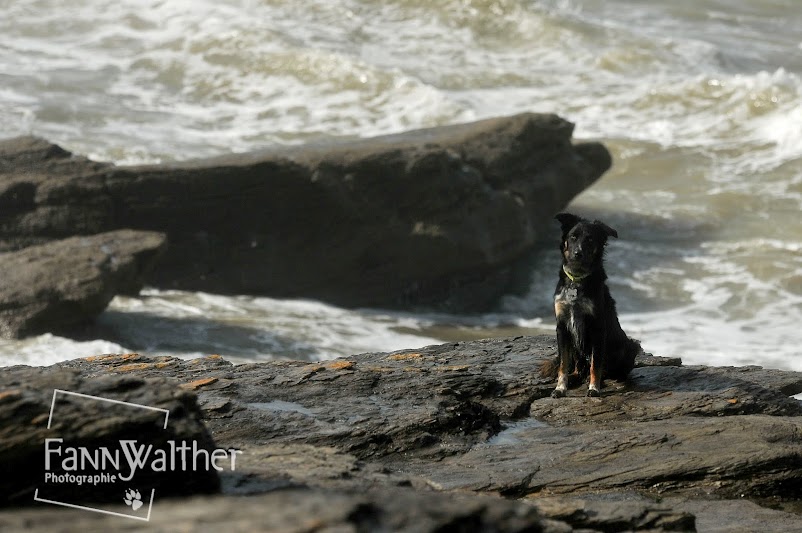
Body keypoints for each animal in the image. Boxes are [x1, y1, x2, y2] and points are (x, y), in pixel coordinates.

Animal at [536, 212, 636, 394]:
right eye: (573, 237)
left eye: (590, 239)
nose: (578, 253)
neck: (576, 279)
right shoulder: (562, 327)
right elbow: (563, 364)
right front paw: (560, 387)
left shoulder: (597, 327)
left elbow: (596, 363)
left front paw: (594, 388)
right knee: (578, 365)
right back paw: (575, 377)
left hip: (629, 346)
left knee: (608, 369)